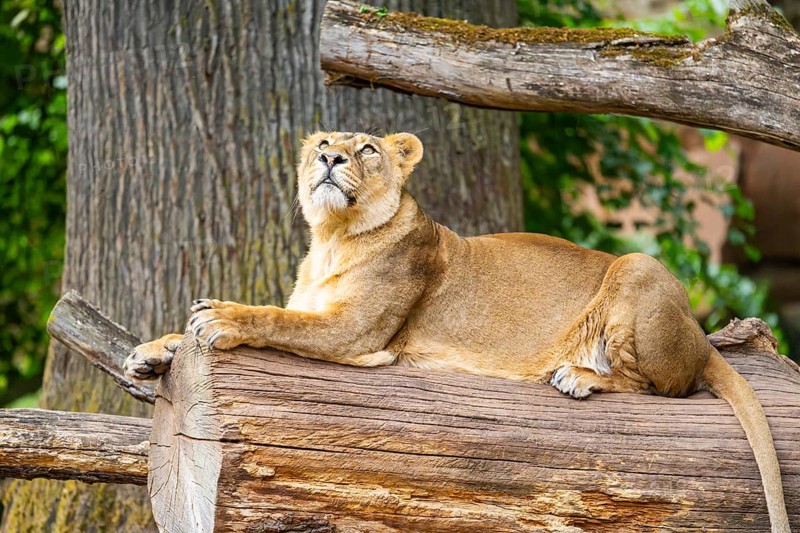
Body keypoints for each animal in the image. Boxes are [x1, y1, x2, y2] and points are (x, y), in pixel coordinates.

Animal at [125, 131, 790, 532]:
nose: (330, 159)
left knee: (662, 386)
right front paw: (151, 353)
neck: (332, 238)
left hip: (637, 267)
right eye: (323, 142)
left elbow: (274, 317)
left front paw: (219, 316)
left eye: (367, 148)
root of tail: (699, 332)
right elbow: (217, 327)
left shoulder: (356, 335)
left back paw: (578, 374)